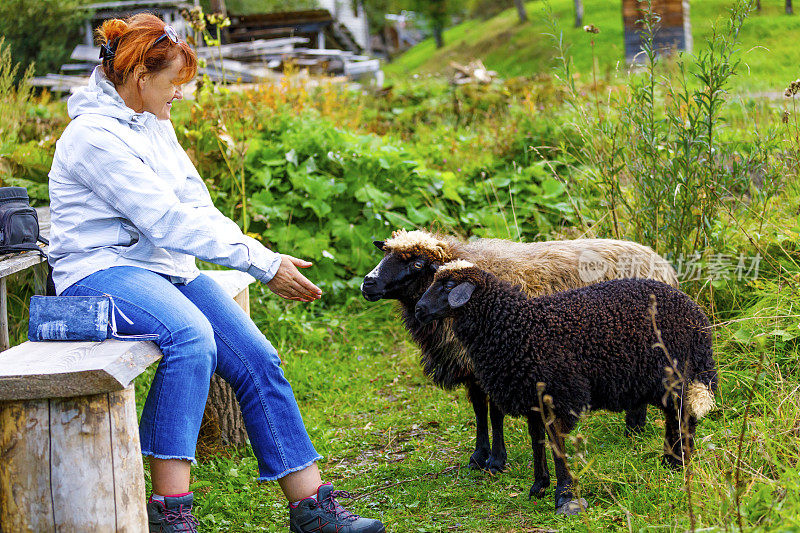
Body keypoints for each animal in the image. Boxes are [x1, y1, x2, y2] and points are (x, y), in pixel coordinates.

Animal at [416, 260, 716, 512]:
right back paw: (672, 460)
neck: (518, 327)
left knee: (683, 415)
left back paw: (679, 460)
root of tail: (698, 318)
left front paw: (564, 494)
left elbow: (556, 444)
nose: (419, 310)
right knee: (675, 415)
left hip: (672, 374)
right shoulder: (532, 399)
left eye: (448, 286)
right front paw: (539, 486)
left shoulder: (559, 396)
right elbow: (537, 441)